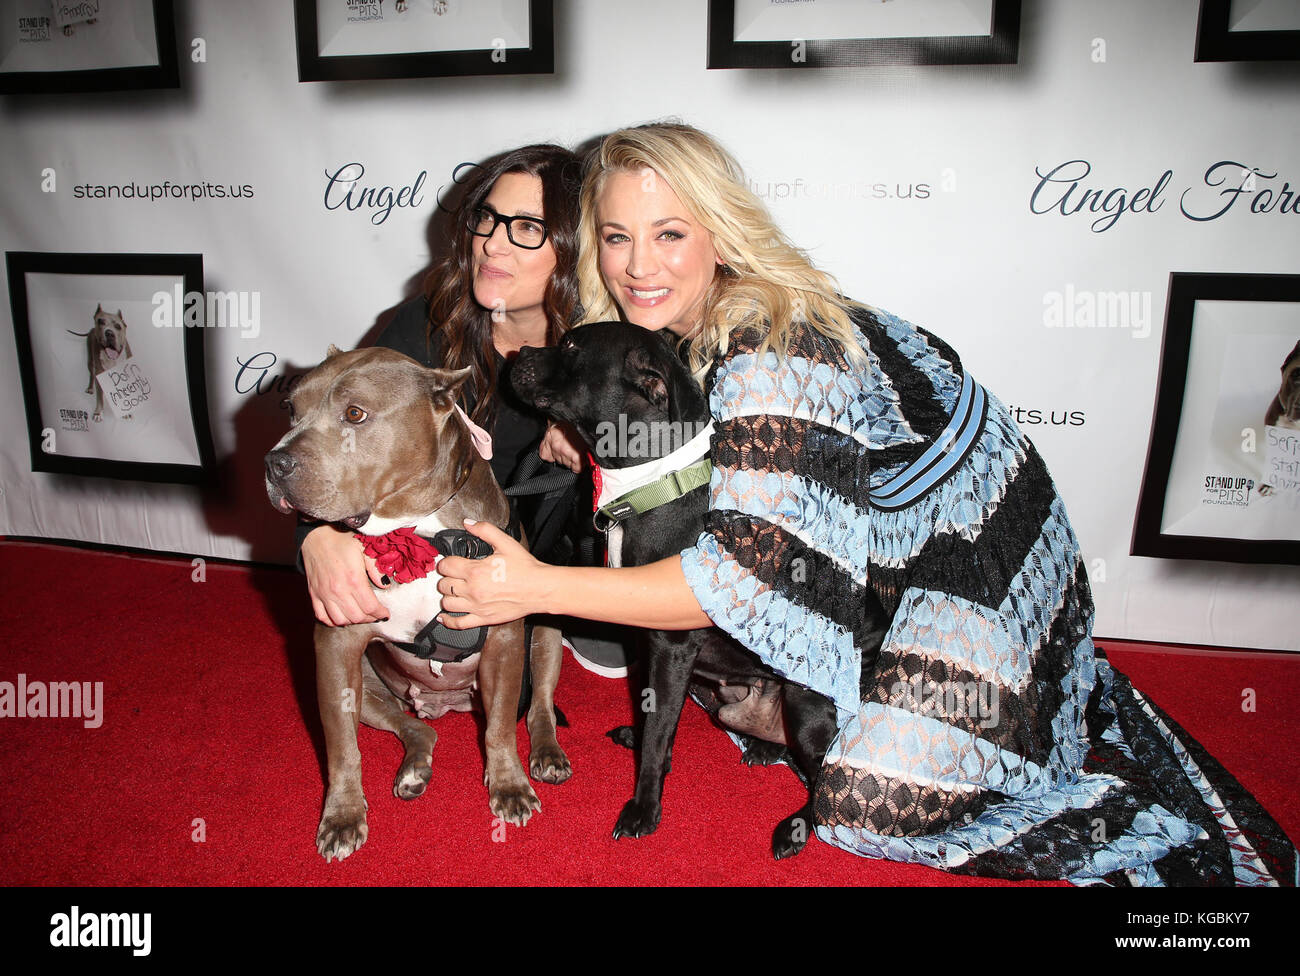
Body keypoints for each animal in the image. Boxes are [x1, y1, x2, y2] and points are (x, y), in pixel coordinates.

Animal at [263, 345, 569, 862]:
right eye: (289, 408)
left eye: (355, 414)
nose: (274, 463)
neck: (419, 529)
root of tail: (446, 706)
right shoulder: (335, 650)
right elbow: (341, 747)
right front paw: (342, 815)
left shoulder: (506, 640)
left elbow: (500, 728)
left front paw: (508, 785)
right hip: (367, 683)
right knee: (414, 728)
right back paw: (413, 768)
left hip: (545, 634)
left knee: (538, 707)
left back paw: (546, 754)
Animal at [506, 324, 842, 857]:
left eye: (573, 346)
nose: (517, 351)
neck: (653, 481)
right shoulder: (646, 639)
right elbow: (654, 721)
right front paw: (642, 741)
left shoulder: (672, 645)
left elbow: (660, 728)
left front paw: (643, 809)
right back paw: (766, 745)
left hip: (806, 708)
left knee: (825, 784)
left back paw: (796, 826)